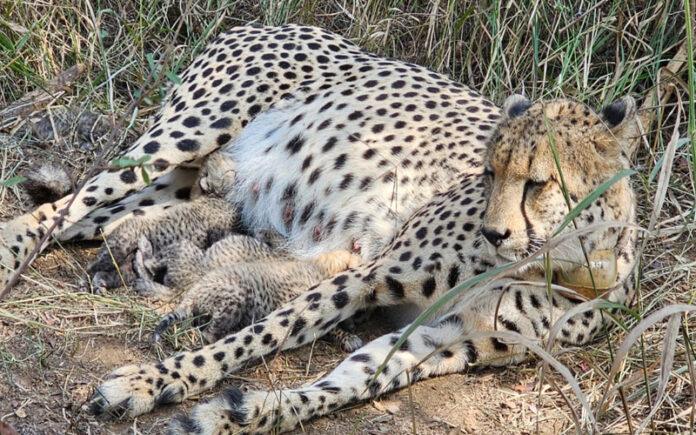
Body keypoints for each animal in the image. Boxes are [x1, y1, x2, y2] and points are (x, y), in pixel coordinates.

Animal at [0, 24, 645, 433]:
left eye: (538, 183)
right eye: (490, 172)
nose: (494, 234)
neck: (564, 261)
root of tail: (267, 21)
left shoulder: (450, 338)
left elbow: (346, 384)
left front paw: (243, 414)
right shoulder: (368, 274)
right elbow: (259, 335)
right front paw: (151, 381)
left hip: (184, 185)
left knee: (99, 222)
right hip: (183, 136)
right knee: (62, 206)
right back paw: (9, 255)